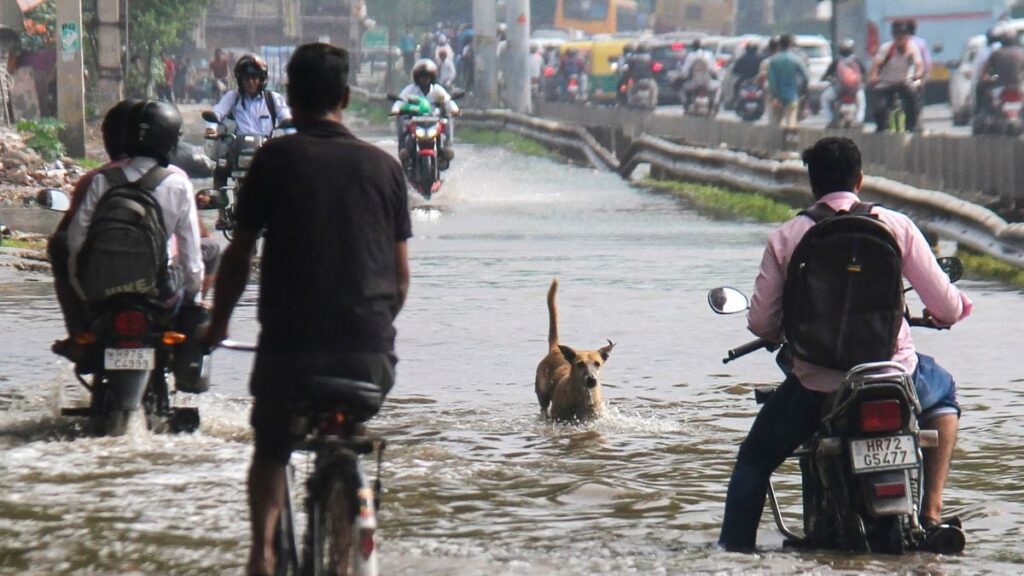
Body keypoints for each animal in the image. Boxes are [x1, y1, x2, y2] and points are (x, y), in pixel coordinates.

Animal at [536, 276, 614, 420]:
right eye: (580, 364)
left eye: (597, 363)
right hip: (542, 394)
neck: (582, 397)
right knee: (543, 407)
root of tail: (555, 349)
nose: (592, 380)